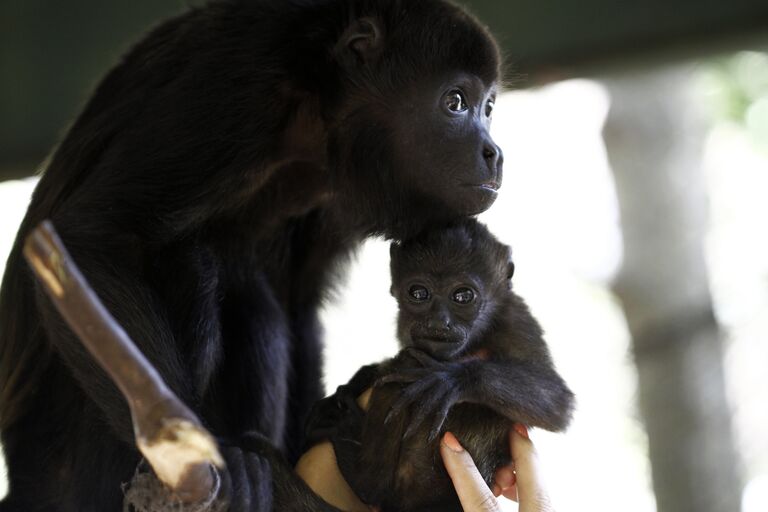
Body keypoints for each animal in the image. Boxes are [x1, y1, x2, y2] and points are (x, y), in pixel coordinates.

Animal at [0, 1, 500, 512]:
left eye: (488, 107)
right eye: (455, 102)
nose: (493, 152)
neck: (317, 111)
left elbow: (298, 304)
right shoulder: (237, 88)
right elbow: (92, 235)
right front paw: (211, 452)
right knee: (194, 263)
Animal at [304, 222, 572, 512]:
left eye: (463, 296)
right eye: (419, 293)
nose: (438, 323)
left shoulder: (515, 316)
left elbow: (557, 401)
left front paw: (448, 380)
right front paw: (357, 380)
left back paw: (362, 473)